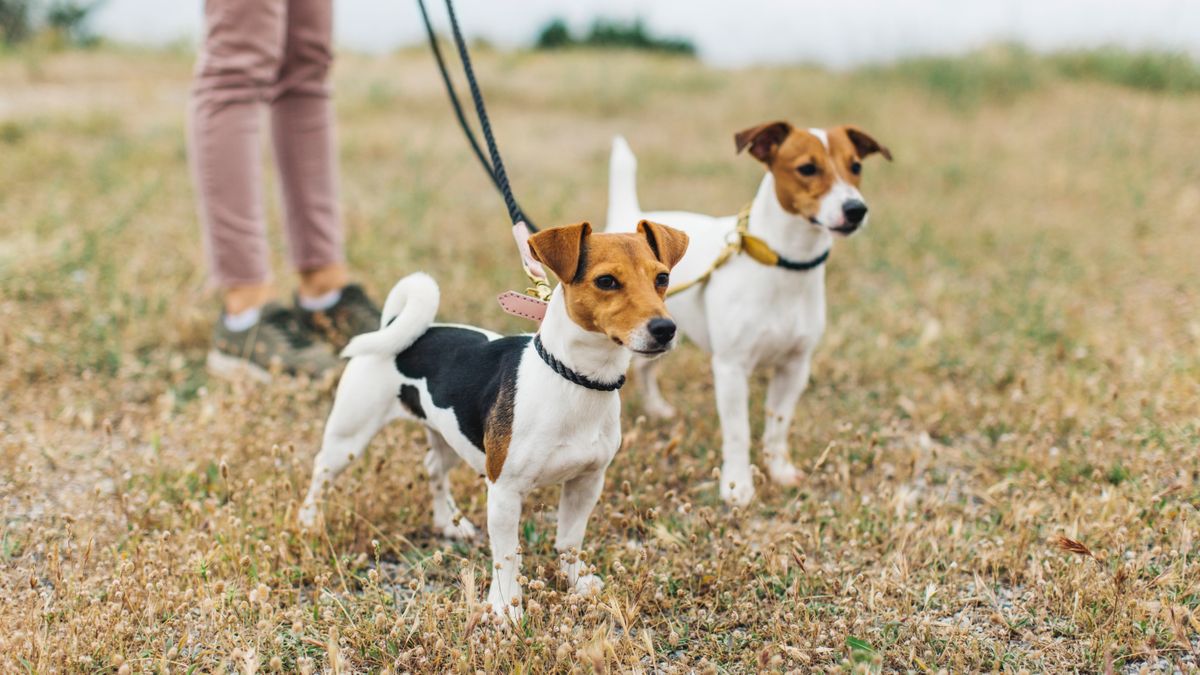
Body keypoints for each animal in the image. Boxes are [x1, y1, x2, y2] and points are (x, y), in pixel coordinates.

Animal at [296, 218, 691, 619]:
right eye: (606, 281)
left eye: (662, 278)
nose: (664, 328)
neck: (575, 380)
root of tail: (396, 325)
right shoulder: (504, 491)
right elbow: (506, 556)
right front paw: (504, 608)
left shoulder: (587, 482)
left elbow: (569, 541)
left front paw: (576, 583)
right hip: (348, 440)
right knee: (320, 473)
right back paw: (309, 521)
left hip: (450, 434)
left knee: (434, 468)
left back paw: (448, 523)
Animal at [604, 119, 888, 504]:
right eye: (807, 169)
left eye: (856, 166)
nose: (856, 209)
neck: (784, 266)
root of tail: (630, 218)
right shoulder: (731, 369)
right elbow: (738, 433)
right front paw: (737, 486)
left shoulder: (794, 367)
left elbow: (777, 427)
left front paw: (779, 470)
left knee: (648, 370)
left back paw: (656, 408)